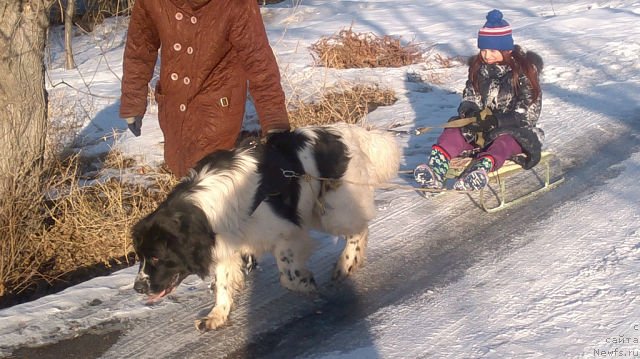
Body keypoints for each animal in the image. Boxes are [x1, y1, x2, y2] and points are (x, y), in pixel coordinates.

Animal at [131, 124, 400, 332]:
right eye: (140, 257)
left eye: (156, 257)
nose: (137, 288)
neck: (207, 208)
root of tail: (350, 132)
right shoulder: (226, 244)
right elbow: (223, 282)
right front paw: (216, 316)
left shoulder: (286, 231)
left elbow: (287, 272)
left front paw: (305, 283)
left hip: (332, 209)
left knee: (358, 229)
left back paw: (346, 263)